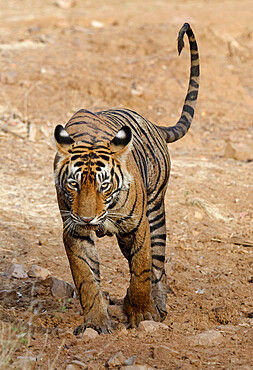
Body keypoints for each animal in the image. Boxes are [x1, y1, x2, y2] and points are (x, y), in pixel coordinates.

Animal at [53, 23, 200, 336]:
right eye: (73, 184)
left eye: (104, 185)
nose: (87, 218)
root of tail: (152, 123)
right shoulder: (73, 230)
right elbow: (86, 278)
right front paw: (96, 324)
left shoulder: (138, 225)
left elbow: (141, 269)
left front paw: (142, 313)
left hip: (156, 213)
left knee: (158, 266)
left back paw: (158, 307)